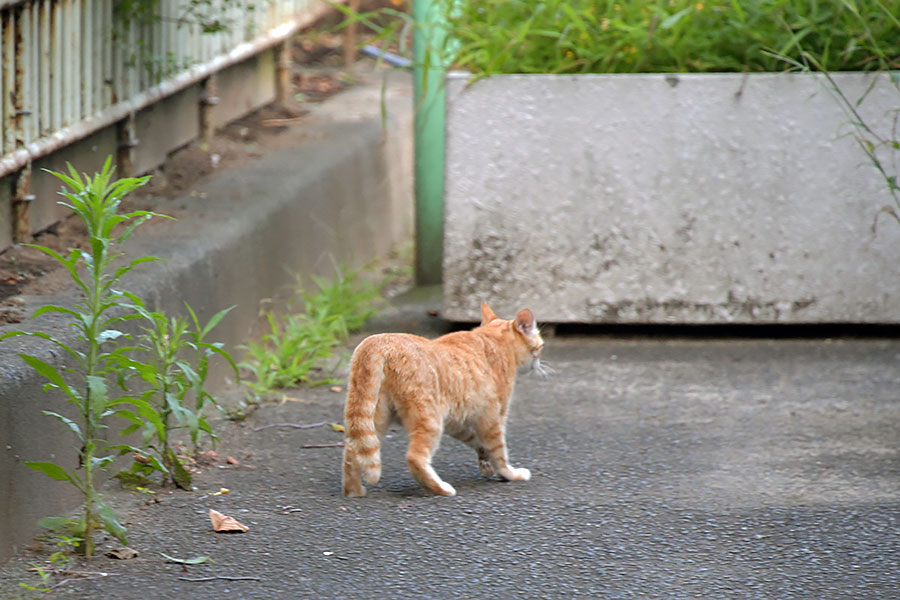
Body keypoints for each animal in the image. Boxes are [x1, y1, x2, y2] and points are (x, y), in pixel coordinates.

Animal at [342, 304, 540, 496]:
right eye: (539, 346)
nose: (538, 365)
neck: (493, 338)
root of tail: (380, 340)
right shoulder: (493, 419)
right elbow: (499, 453)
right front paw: (510, 474)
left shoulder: (458, 422)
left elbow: (477, 441)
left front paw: (485, 462)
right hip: (429, 419)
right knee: (414, 457)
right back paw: (441, 489)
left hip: (374, 417)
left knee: (353, 450)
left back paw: (354, 491)